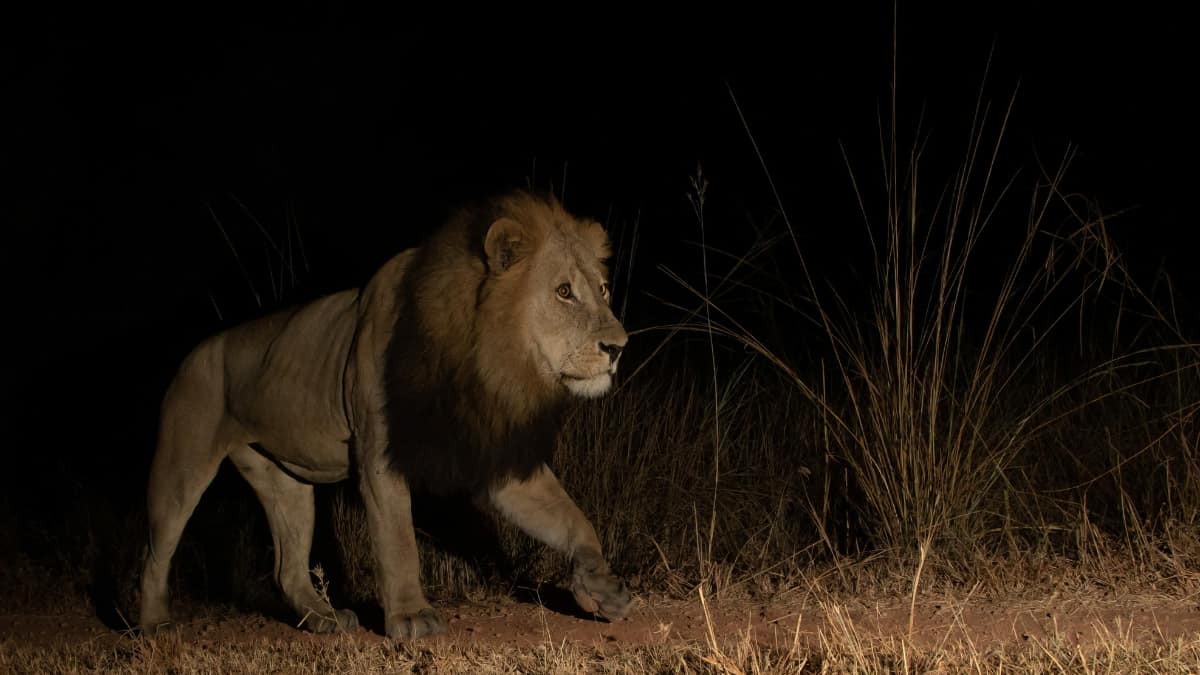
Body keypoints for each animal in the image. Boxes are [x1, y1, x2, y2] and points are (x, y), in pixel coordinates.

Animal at [138, 190, 632, 640]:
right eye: (564, 292)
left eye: (603, 289)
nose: (619, 347)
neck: (482, 357)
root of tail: (194, 354)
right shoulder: (378, 450)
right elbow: (398, 540)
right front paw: (411, 618)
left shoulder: (491, 454)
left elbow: (570, 517)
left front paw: (600, 585)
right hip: (181, 464)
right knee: (155, 551)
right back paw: (155, 625)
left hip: (285, 482)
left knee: (287, 568)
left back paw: (325, 620)